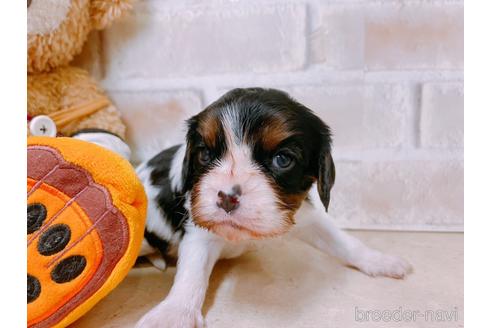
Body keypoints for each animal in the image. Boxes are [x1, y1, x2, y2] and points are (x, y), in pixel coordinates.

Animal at [135, 88, 412, 328]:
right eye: (204, 155)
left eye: (282, 159)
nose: (226, 197)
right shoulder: (198, 231)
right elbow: (191, 275)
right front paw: (173, 315)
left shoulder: (307, 216)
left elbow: (344, 241)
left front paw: (379, 260)